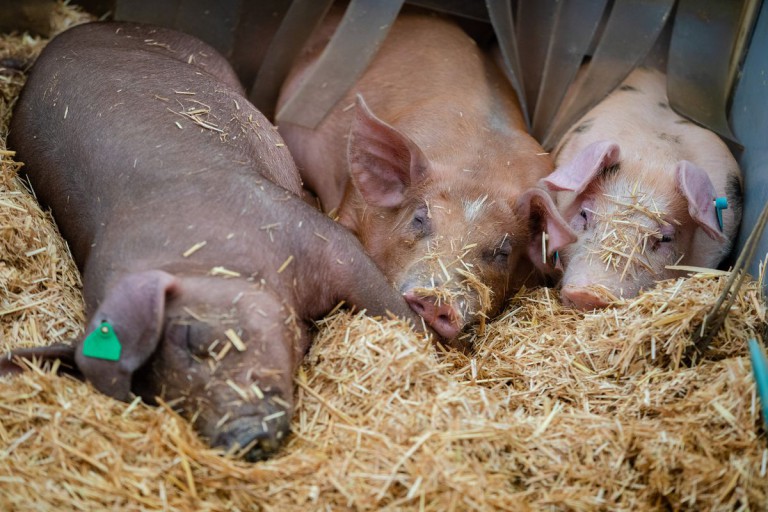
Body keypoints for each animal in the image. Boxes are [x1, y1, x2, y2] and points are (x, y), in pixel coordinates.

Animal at [1, 21, 425, 461]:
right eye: (154, 397)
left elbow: (392, 308)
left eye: (194, 338)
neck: (206, 257)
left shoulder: (320, 239)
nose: (240, 437)